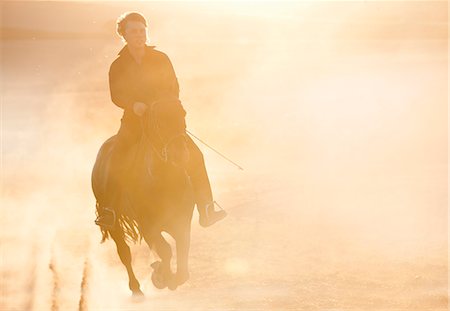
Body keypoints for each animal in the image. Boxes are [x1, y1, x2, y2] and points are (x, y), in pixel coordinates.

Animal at [90, 98, 194, 296]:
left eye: (183, 114)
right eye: (159, 121)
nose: (180, 153)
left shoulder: (182, 222)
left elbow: (183, 261)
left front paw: (168, 275)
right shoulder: (148, 226)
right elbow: (165, 250)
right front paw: (161, 276)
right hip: (114, 224)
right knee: (124, 252)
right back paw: (136, 289)